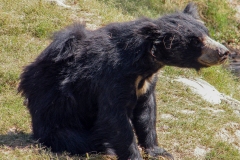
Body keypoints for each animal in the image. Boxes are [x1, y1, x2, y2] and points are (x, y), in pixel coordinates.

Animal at [18, 2, 229, 160]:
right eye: (196, 41)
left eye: (207, 33)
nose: (224, 52)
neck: (144, 64)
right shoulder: (112, 77)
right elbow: (115, 118)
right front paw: (134, 155)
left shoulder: (146, 83)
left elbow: (147, 113)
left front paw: (159, 152)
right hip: (59, 122)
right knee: (82, 139)